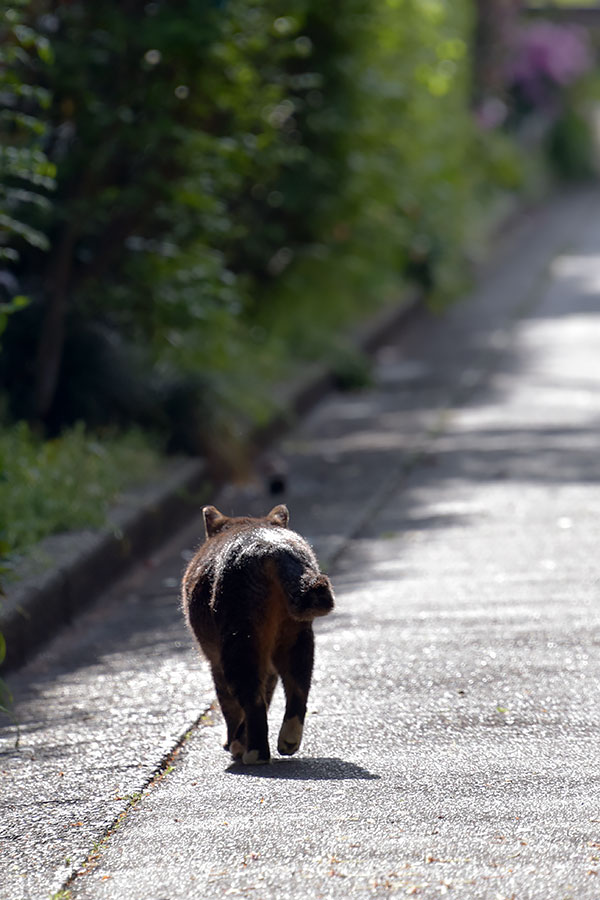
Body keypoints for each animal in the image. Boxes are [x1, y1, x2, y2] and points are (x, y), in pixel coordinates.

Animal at [183, 502, 332, 764]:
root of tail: (272, 547)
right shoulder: (268, 665)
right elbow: (269, 692)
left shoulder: (215, 662)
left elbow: (230, 706)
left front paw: (234, 742)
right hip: (296, 638)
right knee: (298, 688)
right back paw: (287, 741)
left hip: (238, 641)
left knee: (252, 701)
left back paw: (254, 752)